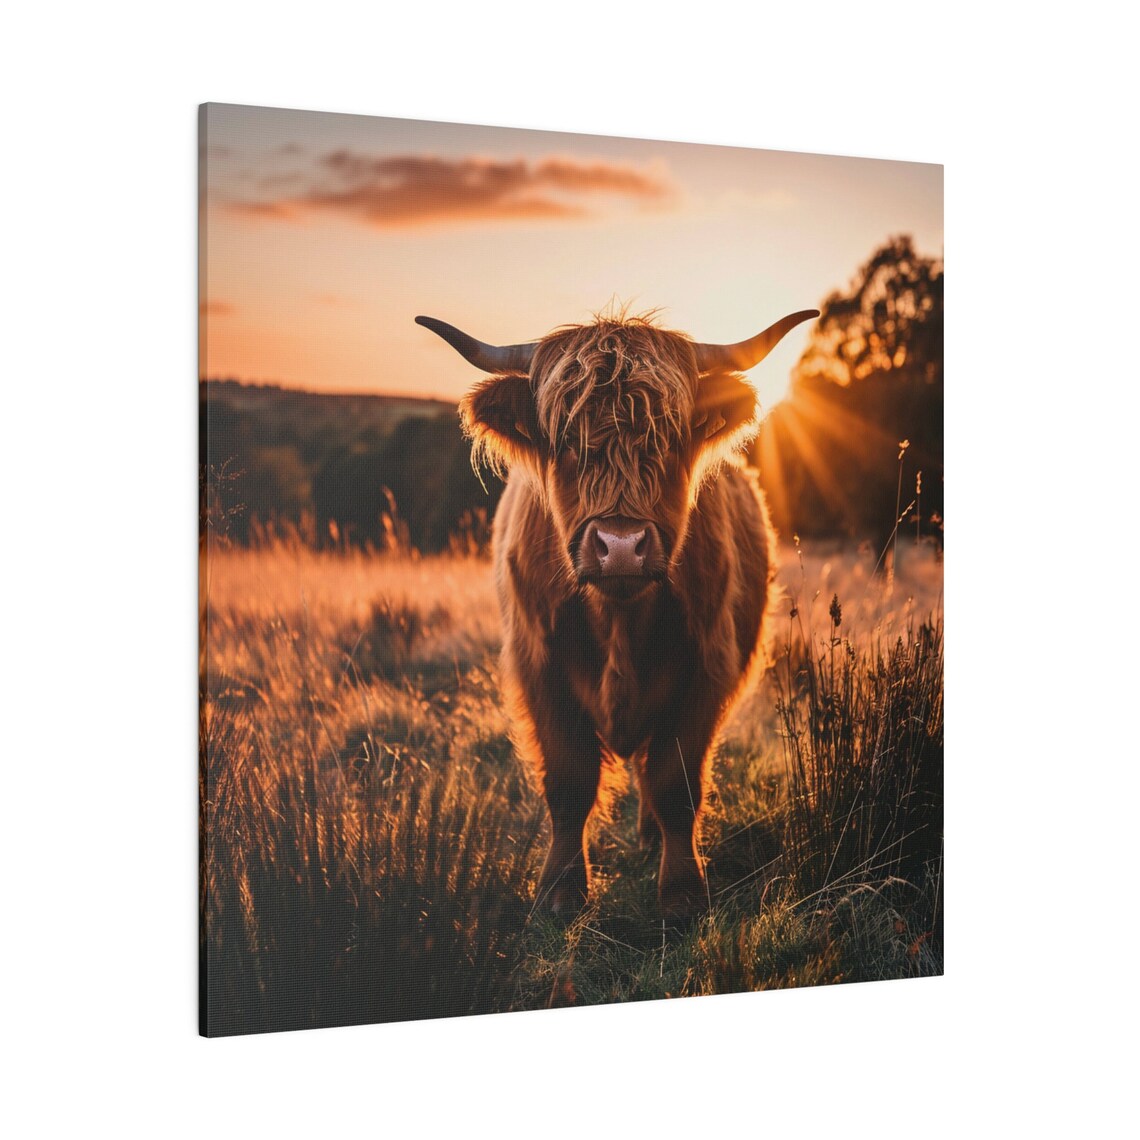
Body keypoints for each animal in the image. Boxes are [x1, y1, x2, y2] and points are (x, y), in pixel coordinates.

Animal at [417, 307, 818, 921]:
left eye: (669, 438)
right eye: (565, 440)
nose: (622, 546)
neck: (618, 620)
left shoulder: (706, 669)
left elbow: (676, 782)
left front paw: (680, 894)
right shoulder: (541, 671)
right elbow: (569, 782)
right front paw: (560, 893)